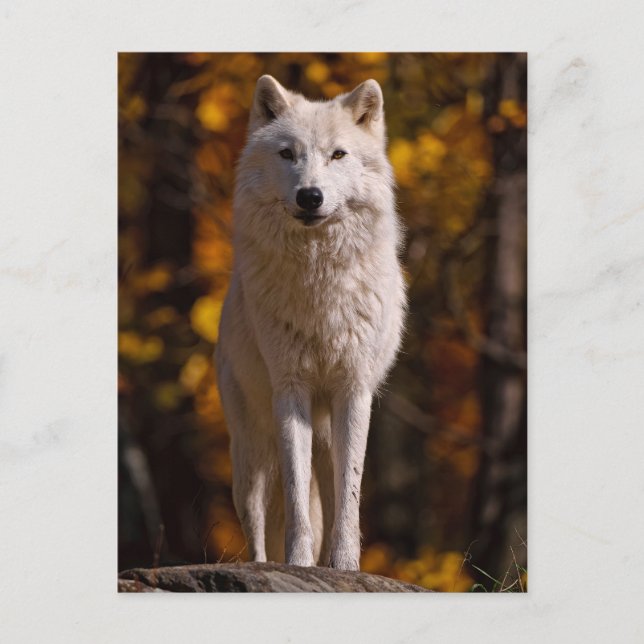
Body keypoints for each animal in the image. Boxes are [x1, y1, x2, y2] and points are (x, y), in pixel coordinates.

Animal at [215, 75, 406, 571]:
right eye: (287, 154)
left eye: (338, 155)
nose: (310, 196)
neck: (318, 283)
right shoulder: (290, 390)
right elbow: (297, 494)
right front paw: (299, 564)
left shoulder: (354, 391)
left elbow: (349, 493)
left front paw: (345, 566)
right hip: (250, 455)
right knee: (258, 526)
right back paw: (264, 567)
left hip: (322, 434)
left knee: (332, 491)